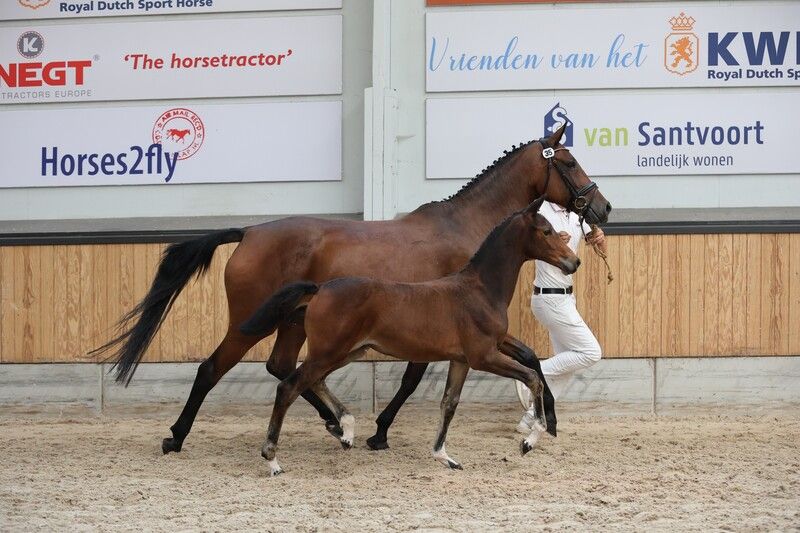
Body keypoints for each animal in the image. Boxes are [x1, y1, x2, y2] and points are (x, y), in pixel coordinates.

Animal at [239, 196, 579, 475]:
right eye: (546, 231)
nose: (573, 262)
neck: (480, 290)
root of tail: (320, 288)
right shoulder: (483, 357)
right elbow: (531, 378)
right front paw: (529, 441)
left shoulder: (461, 360)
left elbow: (449, 403)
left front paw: (444, 457)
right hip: (330, 352)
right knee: (288, 387)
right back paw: (273, 458)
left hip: (347, 351)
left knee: (313, 380)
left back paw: (346, 430)